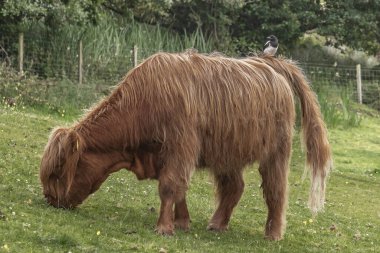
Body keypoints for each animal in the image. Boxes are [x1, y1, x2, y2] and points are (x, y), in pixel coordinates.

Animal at [39, 50, 330, 240]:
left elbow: (169, 186)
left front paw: (164, 228)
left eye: (58, 171)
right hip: (227, 153)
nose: (50, 199)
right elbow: (179, 189)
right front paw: (181, 222)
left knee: (275, 190)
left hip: (276, 151)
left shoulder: (180, 146)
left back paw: (272, 234)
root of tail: (268, 63)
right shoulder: (169, 154)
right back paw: (217, 224)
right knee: (234, 187)